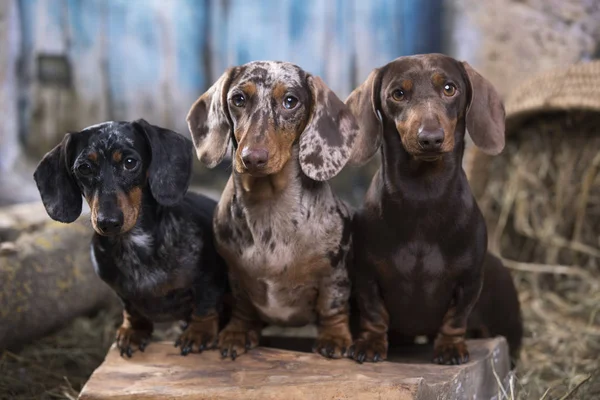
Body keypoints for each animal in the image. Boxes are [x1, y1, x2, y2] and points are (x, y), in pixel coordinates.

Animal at [34, 119, 229, 356]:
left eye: (130, 162)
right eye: (84, 168)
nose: (108, 222)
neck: (135, 245)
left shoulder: (209, 276)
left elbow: (205, 303)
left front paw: (198, 332)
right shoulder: (120, 290)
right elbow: (131, 309)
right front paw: (134, 331)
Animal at [186, 61, 356, 360]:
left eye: (290, 101)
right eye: (238, 98)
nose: (252, 158)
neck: (269, 204)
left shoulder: (335, 272)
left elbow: (332, 306)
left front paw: (334, 337)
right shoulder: (236, 274)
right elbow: (243, 307)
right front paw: (238, 332)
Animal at [344, 54, 524, 366]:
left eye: (450, 88)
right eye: (398, 94)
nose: (430, 138)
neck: (423, 196)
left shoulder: (469, 282)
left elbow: (456, 317)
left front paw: (450, 348)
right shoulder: (366, 276)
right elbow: (374, 312)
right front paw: (370, 343)